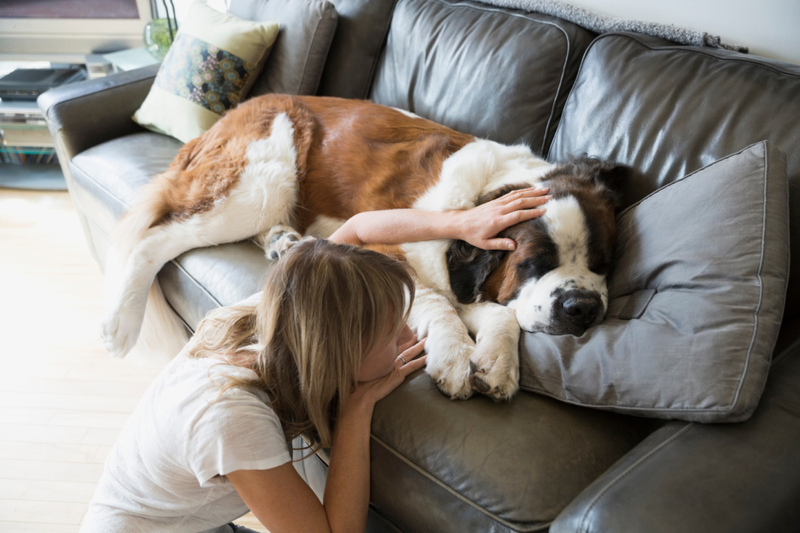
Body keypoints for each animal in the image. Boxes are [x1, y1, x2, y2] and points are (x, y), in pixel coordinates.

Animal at [101, 94, 624, 400]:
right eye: (535, 262)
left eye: (602, 264)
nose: (581, 307)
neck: (489, 193)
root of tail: (232, 112)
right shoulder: (386, 249)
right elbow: (438, 302)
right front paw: (454, 357)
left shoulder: (459, 278)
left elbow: (496, 311)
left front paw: (495, 361)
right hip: (258, 183)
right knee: (154, 238)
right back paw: (120, 324)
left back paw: (284, 241)